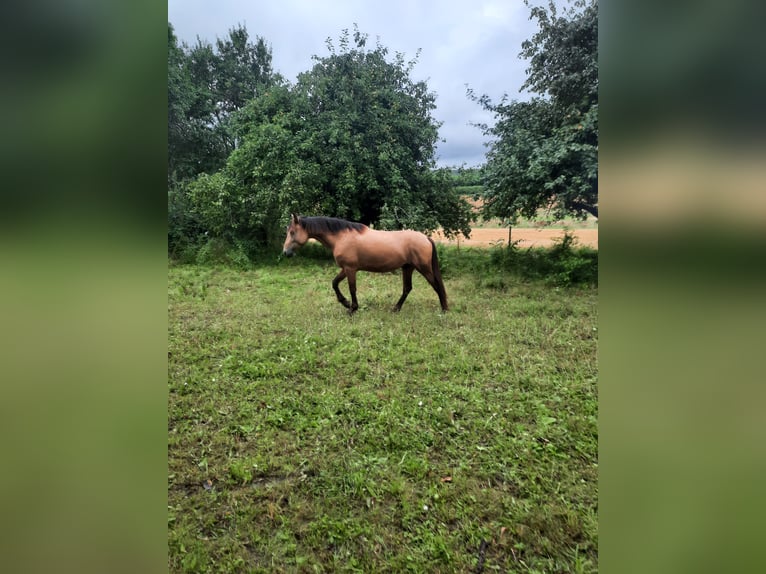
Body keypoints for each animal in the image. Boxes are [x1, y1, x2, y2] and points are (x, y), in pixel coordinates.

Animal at [282, 215, 450, 316]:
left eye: (292, 232)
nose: (285, 252)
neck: (341, 237)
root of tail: (426, 238)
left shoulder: (350, 269)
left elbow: (352, 288)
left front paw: (352, 308)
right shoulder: (345, 268)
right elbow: (334, 283)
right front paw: (345, 302)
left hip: (424, 268)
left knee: (436, 286)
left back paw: (444, 309)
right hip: (408, 267)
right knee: (407, 288)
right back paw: (396, 308)